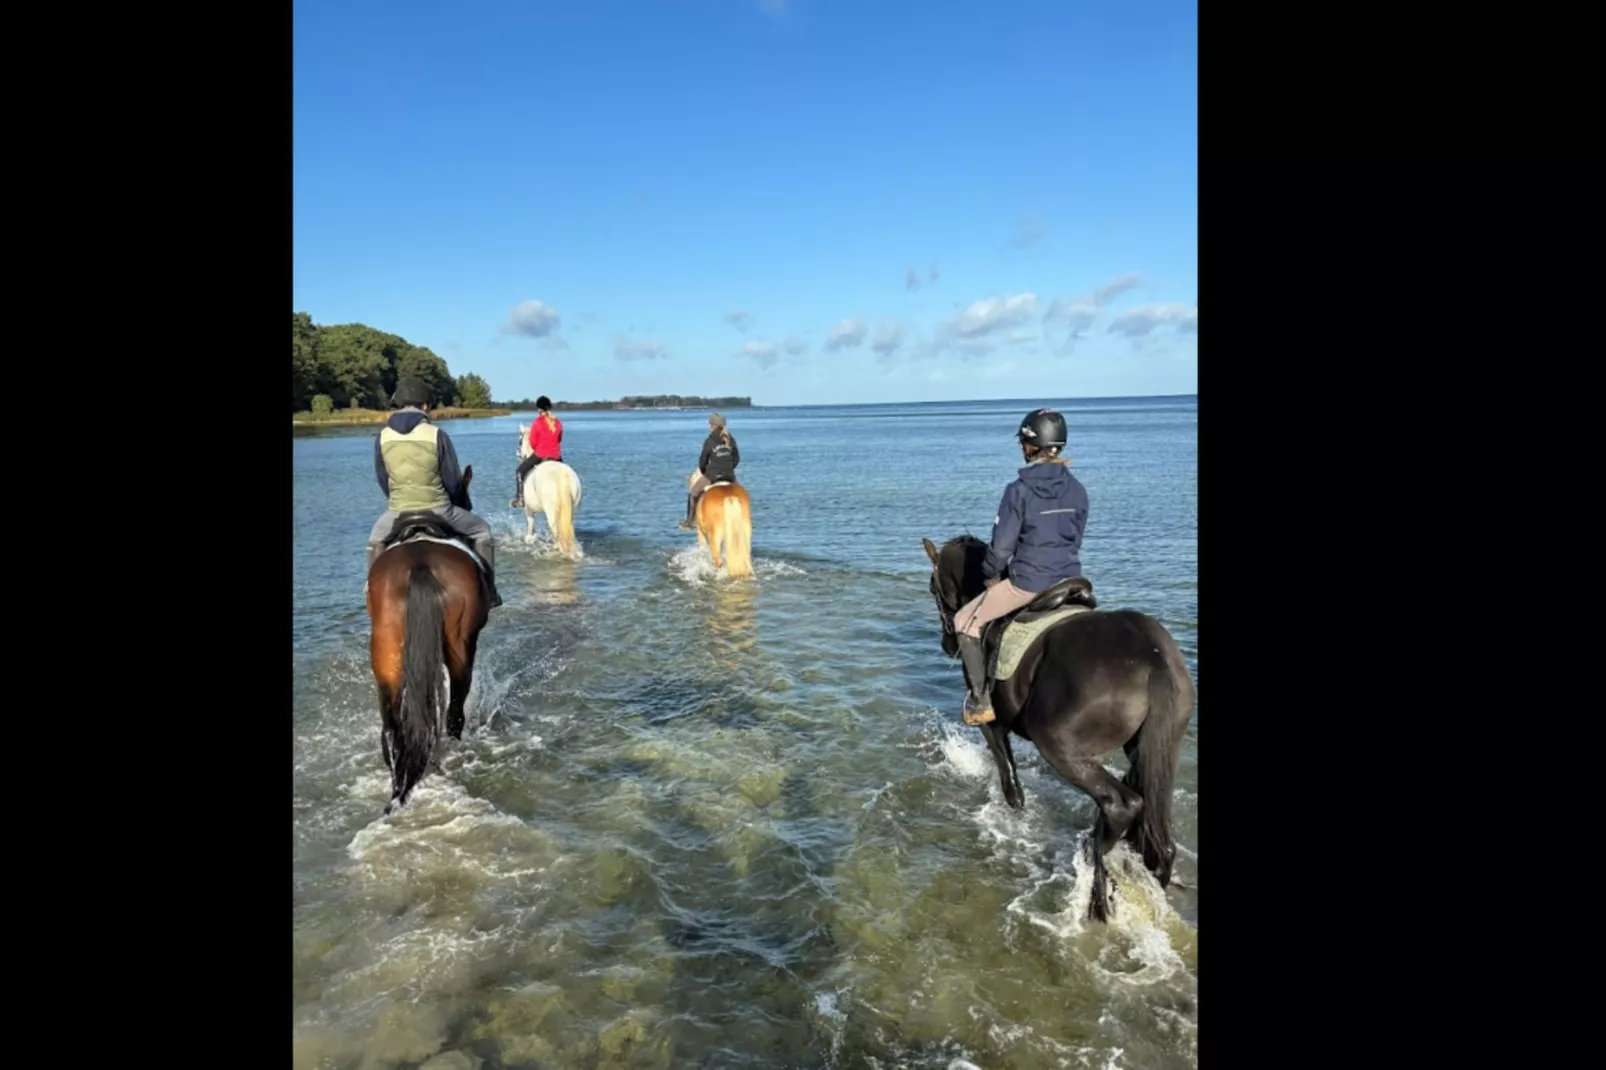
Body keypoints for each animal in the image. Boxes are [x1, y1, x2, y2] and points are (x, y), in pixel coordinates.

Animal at [367, 462, 491, 812]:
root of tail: (420, 564)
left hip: (386, 654)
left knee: (391, 727)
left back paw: (398, 784)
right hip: (461, 649)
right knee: (454, 714)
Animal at [513, 424, 584, 562]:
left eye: (520, 440)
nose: (518, 454)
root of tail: (562, 477)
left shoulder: (528, 508)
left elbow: (530, 526)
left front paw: (529, 539)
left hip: (551, 512)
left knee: (558, 535)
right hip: (571, 511)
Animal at [918, 533, 1194, 918]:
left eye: (932, 587)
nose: (947, 644)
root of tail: (1152, 660)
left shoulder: (993, 726)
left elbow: (1011, 785)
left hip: (1058, 746)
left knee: (1121, 803)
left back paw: (1097, 883)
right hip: (1158, 747)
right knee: (1159, 836)